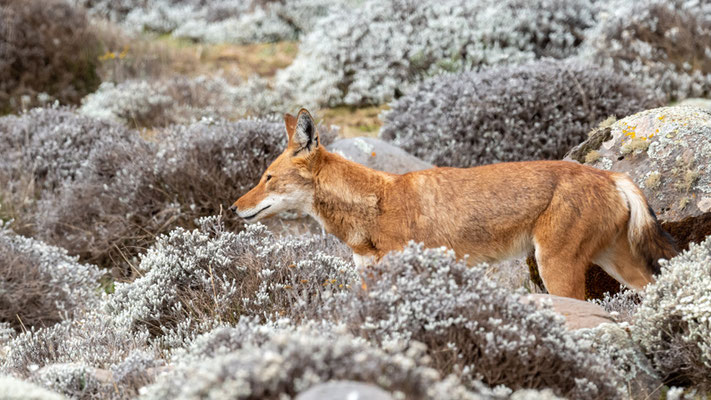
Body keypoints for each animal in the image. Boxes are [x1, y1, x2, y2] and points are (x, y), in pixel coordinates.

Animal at [231, 108, 676, 298]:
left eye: (267, 177)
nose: (234, 208)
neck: (374, 204)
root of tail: (612, 175)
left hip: (556, 271)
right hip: (617, 266)